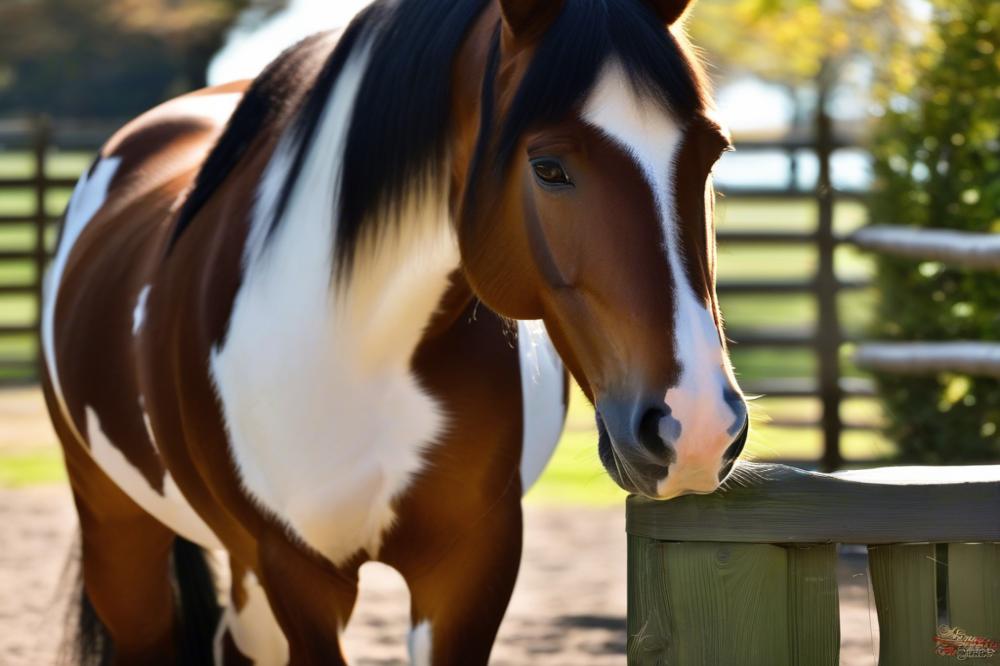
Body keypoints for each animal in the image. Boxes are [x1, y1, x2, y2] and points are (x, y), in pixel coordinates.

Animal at [45, 0, 752, 660]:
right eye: (549, 168)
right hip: (120, 538)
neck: (361, 351)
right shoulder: (297, 571)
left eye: (710, 155)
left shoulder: (470, 566)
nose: (696, 425)